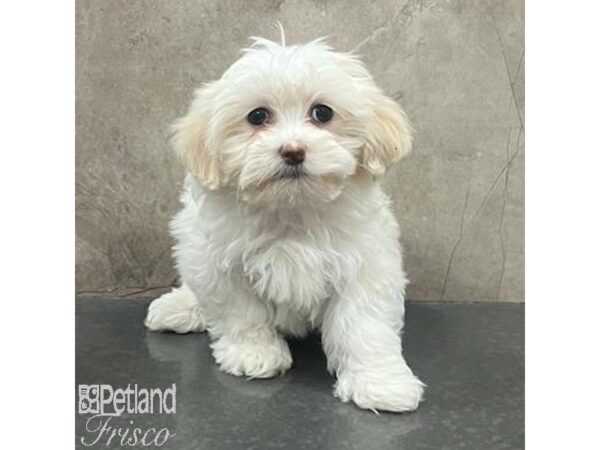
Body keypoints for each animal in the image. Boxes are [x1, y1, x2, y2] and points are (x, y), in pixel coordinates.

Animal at [146, 37, 424, 414]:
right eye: (257, 116)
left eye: (323, 113)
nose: (293, 150)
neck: (292, 209)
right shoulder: (219, 263)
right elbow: (241, 312)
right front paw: (254, 353)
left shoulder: (365, 261)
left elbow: (364, 324)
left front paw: (381, 382)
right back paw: (179, 307)